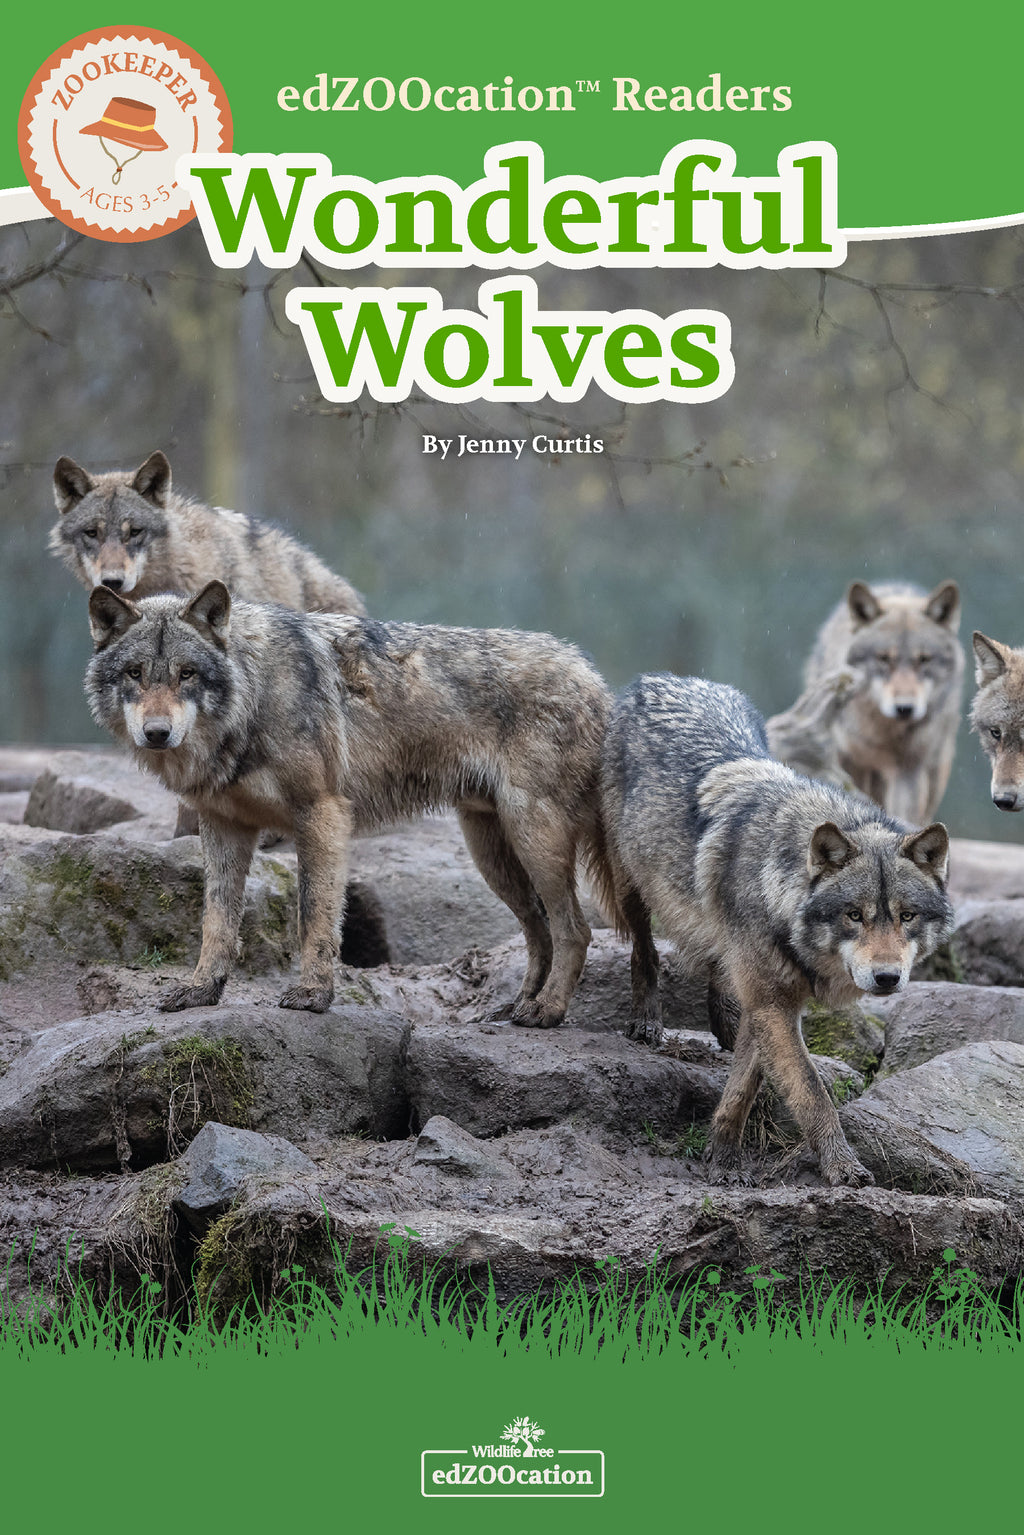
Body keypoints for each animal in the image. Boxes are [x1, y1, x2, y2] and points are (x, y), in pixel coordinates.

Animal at [85, 581, 613, 1023]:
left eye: (187, 674)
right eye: (135, 673)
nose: (157, 733)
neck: (253, 698)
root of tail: (595, 678)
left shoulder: (322, 814)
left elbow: (314, 913)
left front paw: (314, 995)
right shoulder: (222, 825)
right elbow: (217, 920)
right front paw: (201, 991)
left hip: (533, 838)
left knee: (575, 929)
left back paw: (547, 1011)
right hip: (491, 854)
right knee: (540, 929)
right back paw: (518, 1005)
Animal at [601, 674, 953, 1187]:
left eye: (906, 916)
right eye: (854, 915)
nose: (887, 978)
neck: (778, 890)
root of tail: (664, 678)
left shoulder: (771, 1005)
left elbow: (744, 1085)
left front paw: (722, 1156)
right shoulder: (773, 1005)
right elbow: (811, 1092)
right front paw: (841, 1167)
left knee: (721, 975)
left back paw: (724, 1024)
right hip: (631, 884)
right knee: (643, 948)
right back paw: (647, 1019)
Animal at [801, 580, 963, 824]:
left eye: (924, 660)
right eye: (884, 658)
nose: (905, 708)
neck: (885, 734)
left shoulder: (908, 770)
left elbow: (905, 813)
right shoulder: (849, 763)